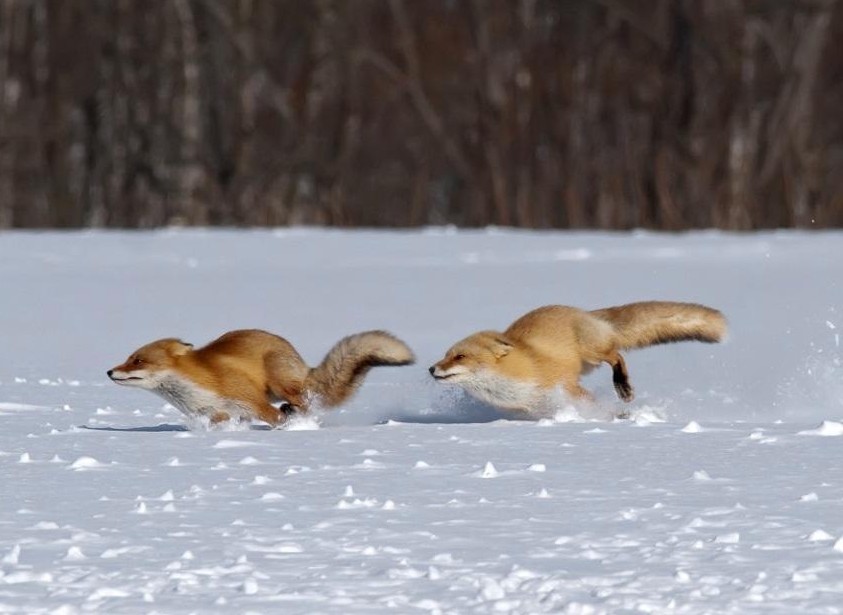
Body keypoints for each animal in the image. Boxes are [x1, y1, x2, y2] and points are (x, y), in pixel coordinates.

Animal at [107, 330, 418, 426]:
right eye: (129, 357)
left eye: (138, 360)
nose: (109, 372)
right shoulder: (218, 414)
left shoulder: (253, 402)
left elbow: (276, 421)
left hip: (279, 382)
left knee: (305, 404)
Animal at [432, 304, 728, 414]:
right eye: (446, 354)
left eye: (460, 356)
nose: (431, 368)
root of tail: (583, 312)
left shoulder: (566, 386)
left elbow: (594, 405)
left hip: (591, 352)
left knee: (616, 354)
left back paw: (623, 387)